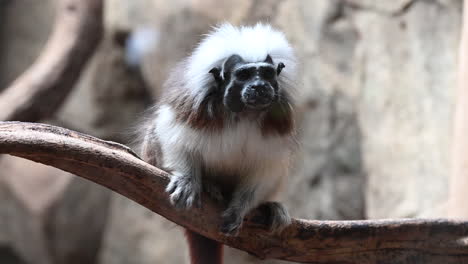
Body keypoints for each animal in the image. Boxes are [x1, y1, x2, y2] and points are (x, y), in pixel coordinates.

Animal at [141, 23, 298, 264]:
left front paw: (239, 209)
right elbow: (171, 132)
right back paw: (208, 186)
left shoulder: (278, 120)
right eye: (243, 75)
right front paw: (187, 180)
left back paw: (271, 208)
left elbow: (267, 168)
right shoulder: (193, 107)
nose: (259, 86)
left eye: (266, 73)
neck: (244, 114)